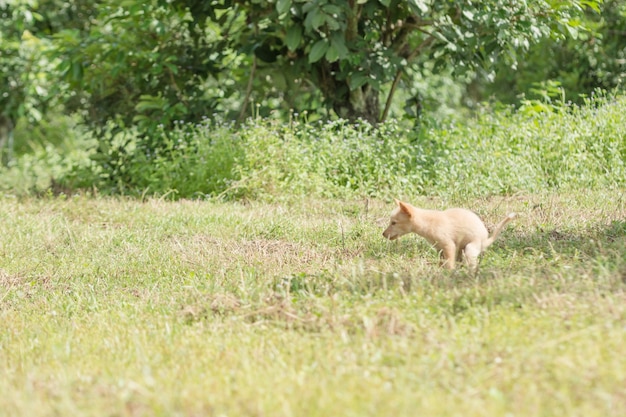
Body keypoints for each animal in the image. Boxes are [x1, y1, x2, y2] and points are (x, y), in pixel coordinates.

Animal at [382, 199, 516, 272]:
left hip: (470, 248)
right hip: (461, 250)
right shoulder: (439, 248)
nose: (383, 234)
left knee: (472, 265)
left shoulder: (448, 245)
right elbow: (442, 261)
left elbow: (449, 263)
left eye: (394, 223)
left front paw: (449, 273)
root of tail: (485, 241)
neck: (426, 222)